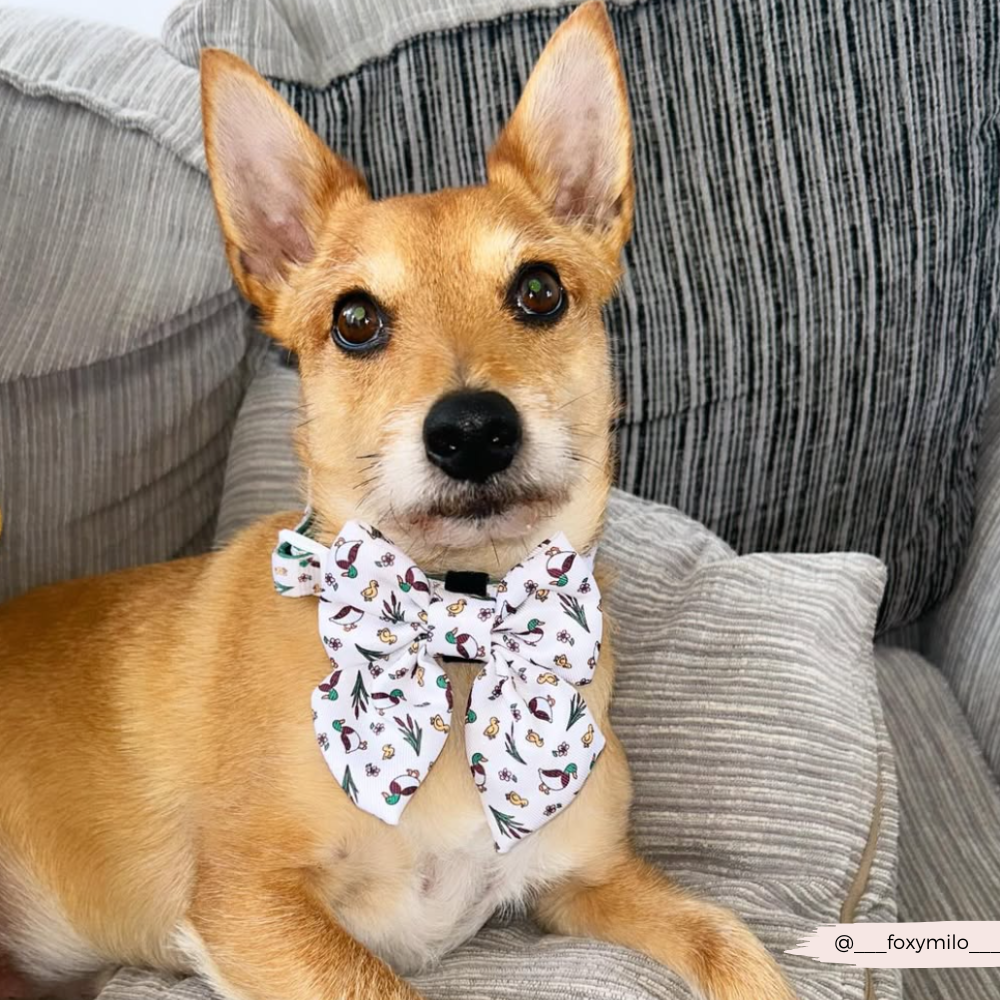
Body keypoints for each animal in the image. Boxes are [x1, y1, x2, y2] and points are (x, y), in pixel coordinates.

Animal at [0, 4, 796, 999]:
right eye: (354, 320)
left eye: (540, 291)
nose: (472, 430)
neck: (458, 629)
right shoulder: (251, 903)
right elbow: (379, 980)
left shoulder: (587, 880)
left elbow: (732, 942)